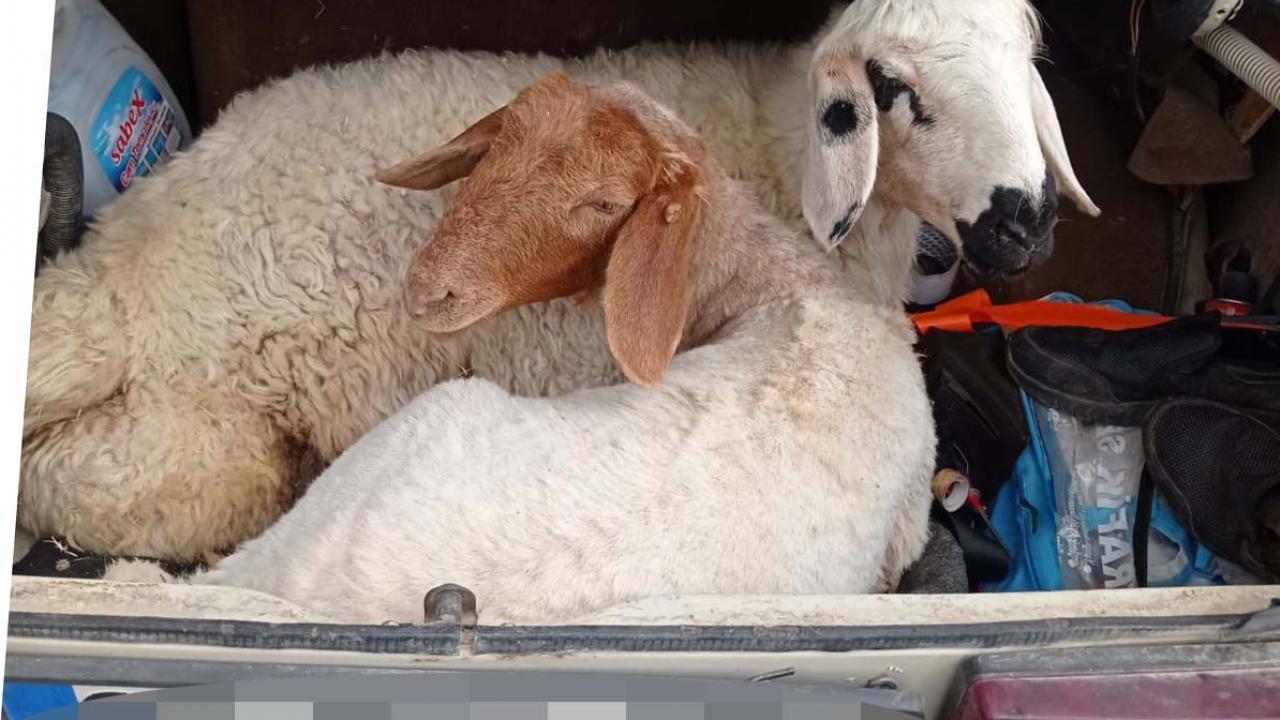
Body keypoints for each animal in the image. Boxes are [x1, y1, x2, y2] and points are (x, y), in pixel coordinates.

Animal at [20, 0, 1098, 563]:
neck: (772, 146)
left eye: (1028, 61)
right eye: (893, 91)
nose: (1023, 223)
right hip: (200, 451)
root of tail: (115, 266)